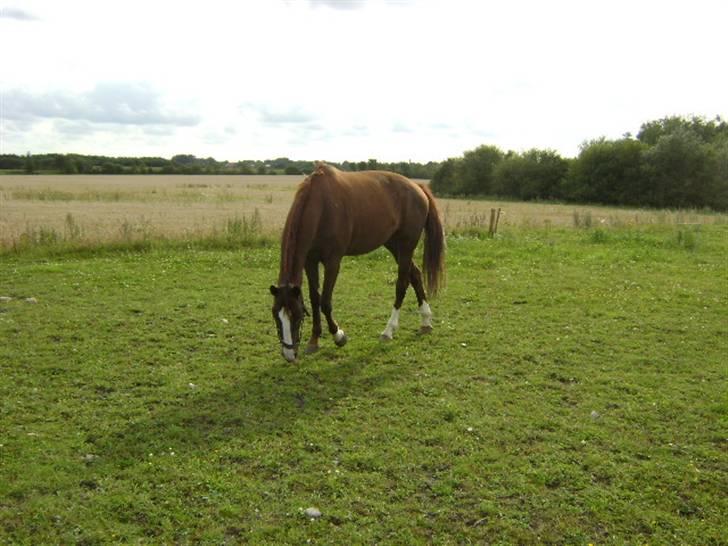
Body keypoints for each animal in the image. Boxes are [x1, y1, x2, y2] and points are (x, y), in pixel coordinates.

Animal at [272, 159, 446, 360]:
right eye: (276, 315)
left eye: (297, 316)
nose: (289, 354)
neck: (321, 206)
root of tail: (418, 187)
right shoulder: (310, 261)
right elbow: (315, 299)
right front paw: (314, 340)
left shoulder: (333, 262)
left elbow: (325, 302)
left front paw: (339, 336)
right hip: (394, 245)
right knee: (415, 275)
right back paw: (425, 321)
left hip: (406, 246)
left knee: (402, 284)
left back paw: (388, 331)